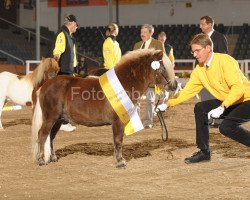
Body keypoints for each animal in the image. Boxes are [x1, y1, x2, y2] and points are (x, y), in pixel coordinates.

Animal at [31, 49, 178, 168]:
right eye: (163, 68)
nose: (174, 86)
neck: (124, 83)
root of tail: (45, 85)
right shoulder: (118, 121)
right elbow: (118, 140)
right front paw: (120, 161)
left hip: (59, 119)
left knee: (51, 136)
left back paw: (53, 158)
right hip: (50, 118)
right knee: (42, 134)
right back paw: (41, 160)